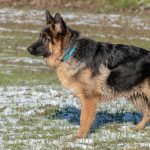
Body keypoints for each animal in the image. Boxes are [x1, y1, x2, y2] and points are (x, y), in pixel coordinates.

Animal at [27, 10, 149, 138]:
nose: (28, 49)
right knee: (147, 113)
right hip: (137, 95)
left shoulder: (89, 98)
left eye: (46, 39)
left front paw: (80, 137)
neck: (70, 52)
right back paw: (137, 128)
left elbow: (84, 118)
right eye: (40, 37)